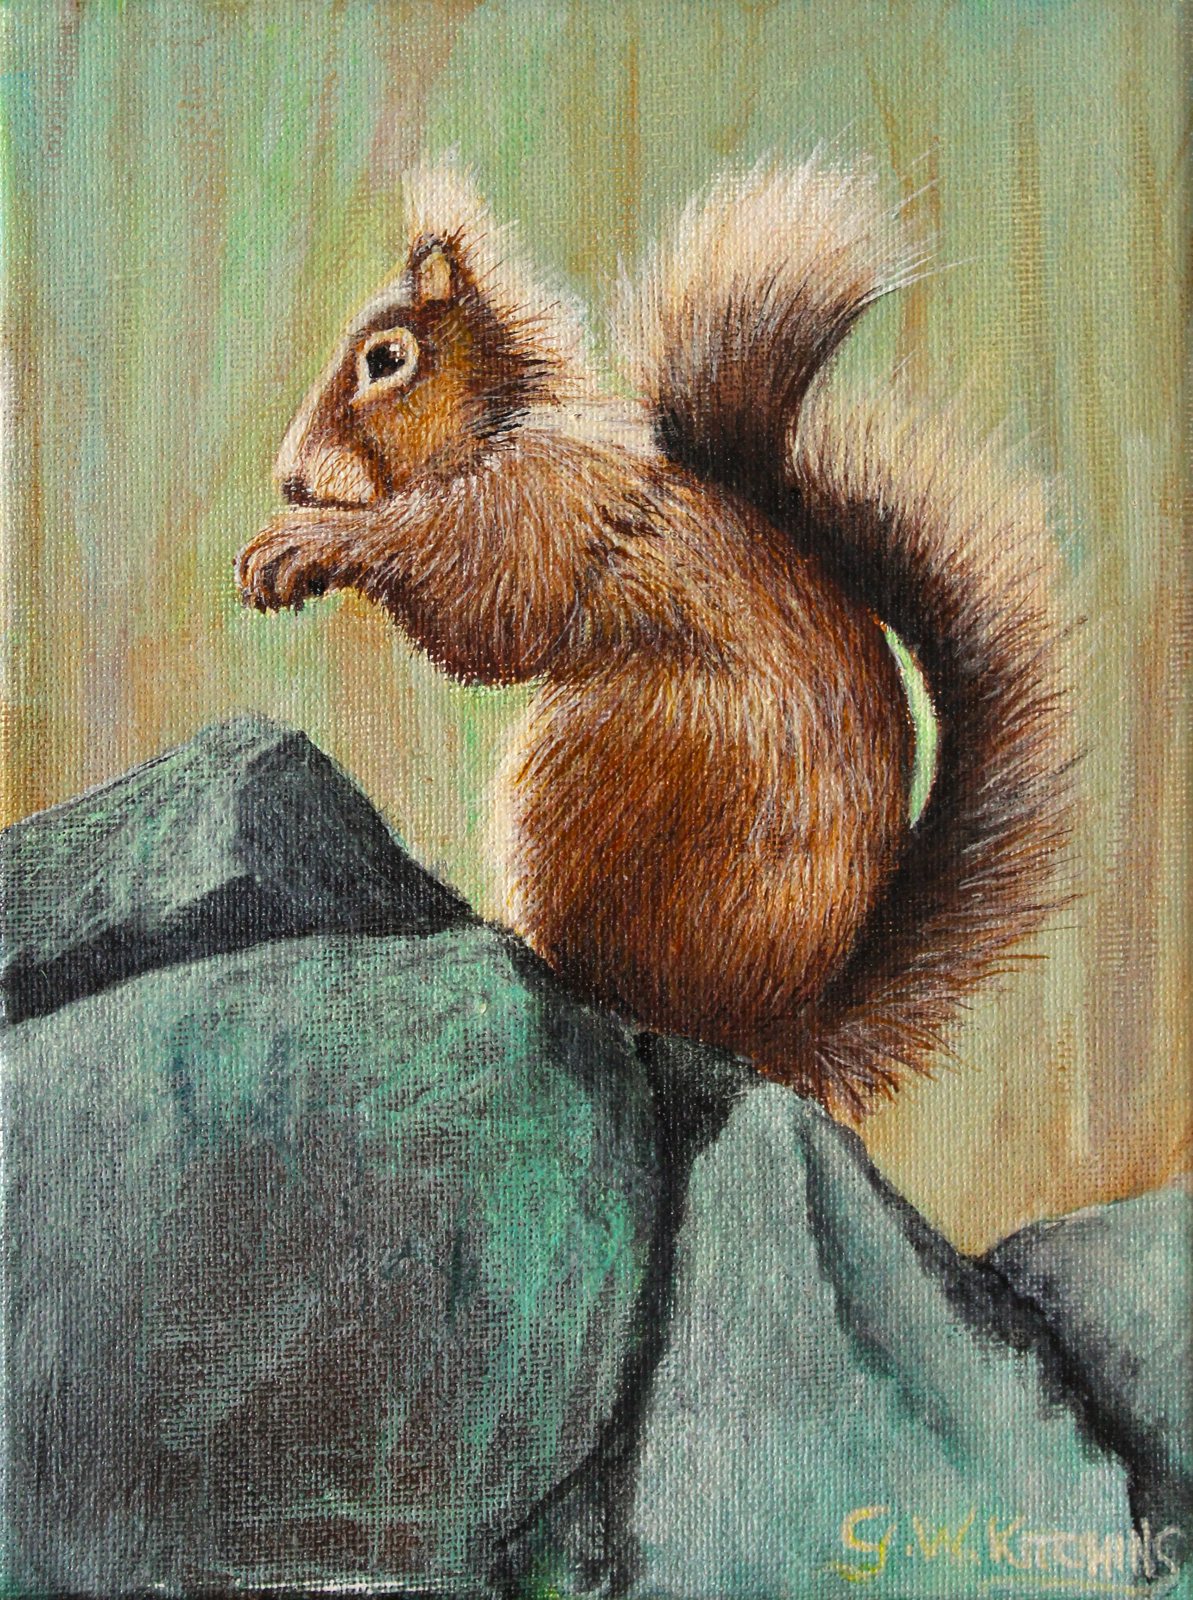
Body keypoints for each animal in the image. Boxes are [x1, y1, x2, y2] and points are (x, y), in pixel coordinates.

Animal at [236, 158, 1073, 1113]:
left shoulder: (535, 516)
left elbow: (482, 616)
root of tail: (767, 1030)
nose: (288, 477)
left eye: (387, 358)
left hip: (603, 774)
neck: (501, 428)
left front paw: (313, 543)